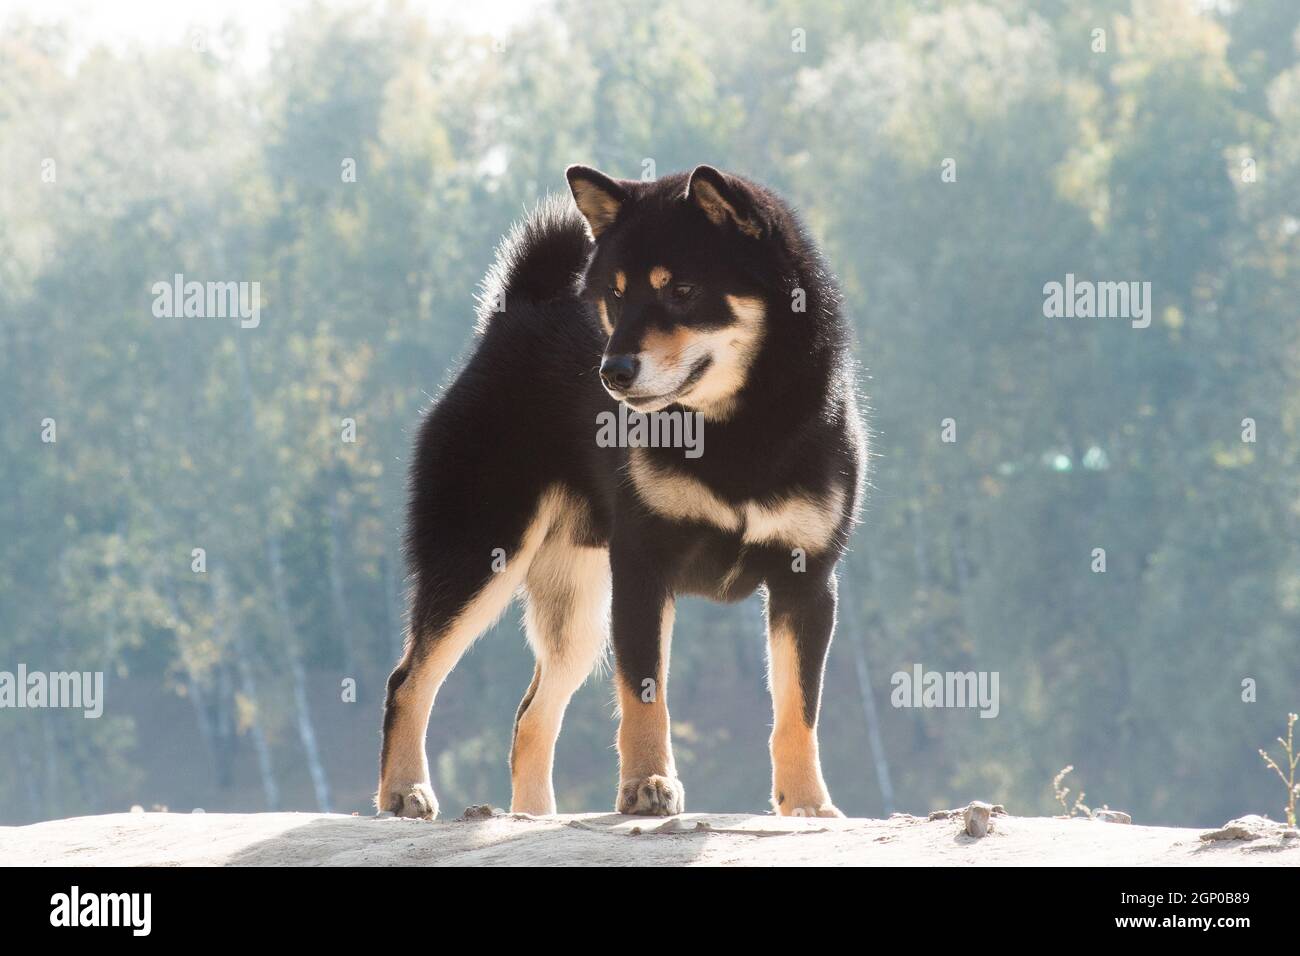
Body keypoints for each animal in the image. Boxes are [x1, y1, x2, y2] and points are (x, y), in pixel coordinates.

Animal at [377, 166, 863, 822]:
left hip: (576, 613)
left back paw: (533, 817)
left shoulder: (805, 581)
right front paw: (646, 783)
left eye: (682, 290)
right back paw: (404, 790)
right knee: (409, 681)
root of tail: (512, 318)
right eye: (615, 295)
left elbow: (798, 710)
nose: (612, 371)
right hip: (481, 559)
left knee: (530, 717)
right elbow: (644, 694)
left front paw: (807, 804)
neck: (735, 433)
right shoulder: (643, 569)